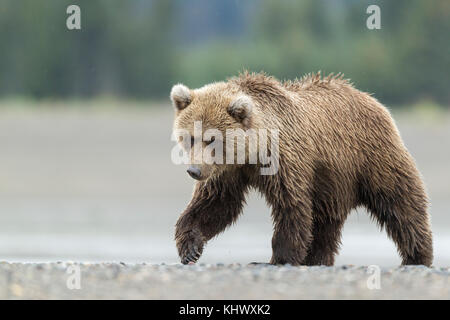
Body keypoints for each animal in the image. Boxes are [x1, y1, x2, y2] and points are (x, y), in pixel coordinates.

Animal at [169, 71, 432, 266]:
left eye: (212, 139)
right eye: (191, 137)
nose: (194, 171)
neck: (252, 153)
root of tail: (372, 99)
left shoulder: (284, 160)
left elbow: (291, 205)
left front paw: (280, 257)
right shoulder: (228, 171)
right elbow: (216, 204)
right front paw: (190, 248)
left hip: (373, 156)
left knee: (400, 201)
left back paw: (417, 256)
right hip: (332, 182)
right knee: (326, 221)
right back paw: (318, 258)